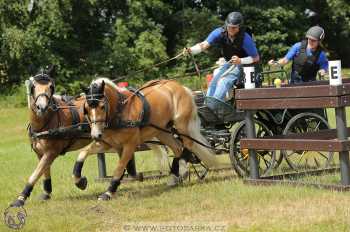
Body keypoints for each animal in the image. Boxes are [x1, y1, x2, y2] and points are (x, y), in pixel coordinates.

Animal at [10, 71, 170, 207]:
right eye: (33, 87)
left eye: (51, 86)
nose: (41, 107)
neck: (47, 121)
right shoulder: (40, 153)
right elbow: (44, 172)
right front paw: (46, 193)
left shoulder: (51, 152)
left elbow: (35, 173)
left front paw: (20, 198)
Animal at [82, 78, 219, 201]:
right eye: (87, 109)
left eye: (102, 106)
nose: (95, 135)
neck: (120, 111)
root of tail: (181, 87)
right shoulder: (110, 144)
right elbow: (84, 152)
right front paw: (80, 181)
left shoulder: (130, 144)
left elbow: (120, 167)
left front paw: (108, 192)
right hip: (162, 131)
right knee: (177, 148)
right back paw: (174, 177)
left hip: (182, 125)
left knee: (187, 144)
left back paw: (183, 169)